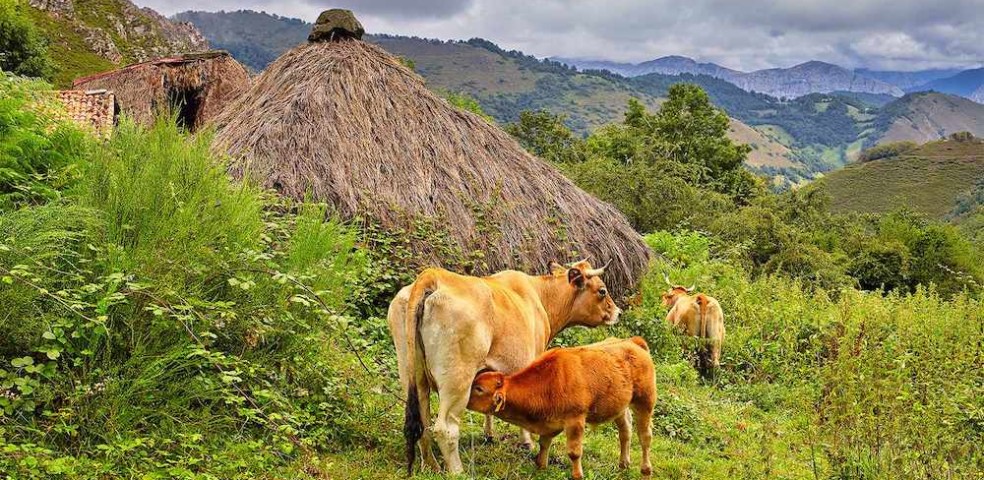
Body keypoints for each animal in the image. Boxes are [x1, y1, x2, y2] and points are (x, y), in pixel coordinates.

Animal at [388, 260, 620, 474]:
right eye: (602, 290)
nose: (618, 312)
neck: (542, 297)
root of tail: (433, 275)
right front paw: (527, 442)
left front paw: (489, 435)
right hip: (457, 379)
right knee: (445, 428)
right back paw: (457, 471)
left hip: (412, 374)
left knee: (423, 422)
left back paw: (431, 466)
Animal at [468, 338, 656, 480]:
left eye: (479, 389)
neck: (549, 381)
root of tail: (633, 342)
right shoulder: (550, 421)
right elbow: (544, 443)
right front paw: (541, 466)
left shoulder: (575, 420)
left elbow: (574, 452)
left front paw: (577, 475)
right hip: (620, 406)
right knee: (625, 431)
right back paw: (623, 464)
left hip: (645, 401)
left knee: (645, 437)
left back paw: (645, 470)